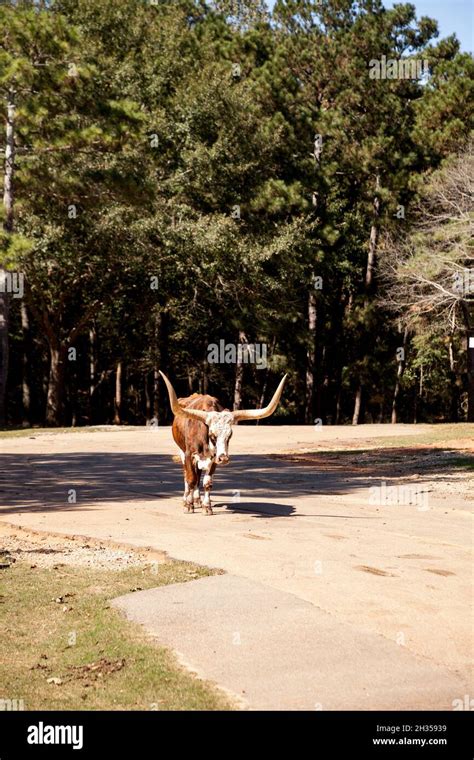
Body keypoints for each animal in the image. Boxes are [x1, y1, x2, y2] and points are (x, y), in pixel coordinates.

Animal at [159, 372, 286, 512]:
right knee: (187, 475)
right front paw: (189, 505)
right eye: (212, 434)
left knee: (198, 476)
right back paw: (186, 498)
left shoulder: (214, 458)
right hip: (182, 452)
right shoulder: (189, 454)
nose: (224, 458)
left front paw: (207, 507)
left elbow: (207, 482)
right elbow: (191, 479)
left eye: (230, 434)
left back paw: (198, 499)